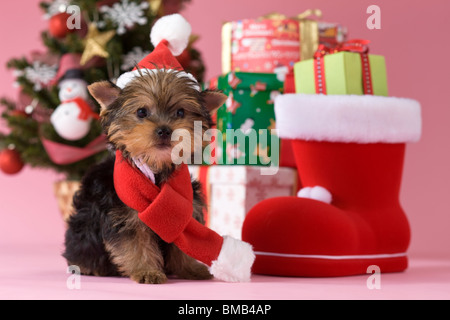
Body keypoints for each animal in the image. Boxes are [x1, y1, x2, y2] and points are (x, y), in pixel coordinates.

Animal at [62, 69, 227, 282]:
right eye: (141, 112)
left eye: (180, 112)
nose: (164, 130)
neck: (156, 167)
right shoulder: (126, 215)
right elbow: (135, 244)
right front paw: (147, 271)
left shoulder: (185, 210)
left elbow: (184, 239)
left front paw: (190, 268)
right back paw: (89, 266)